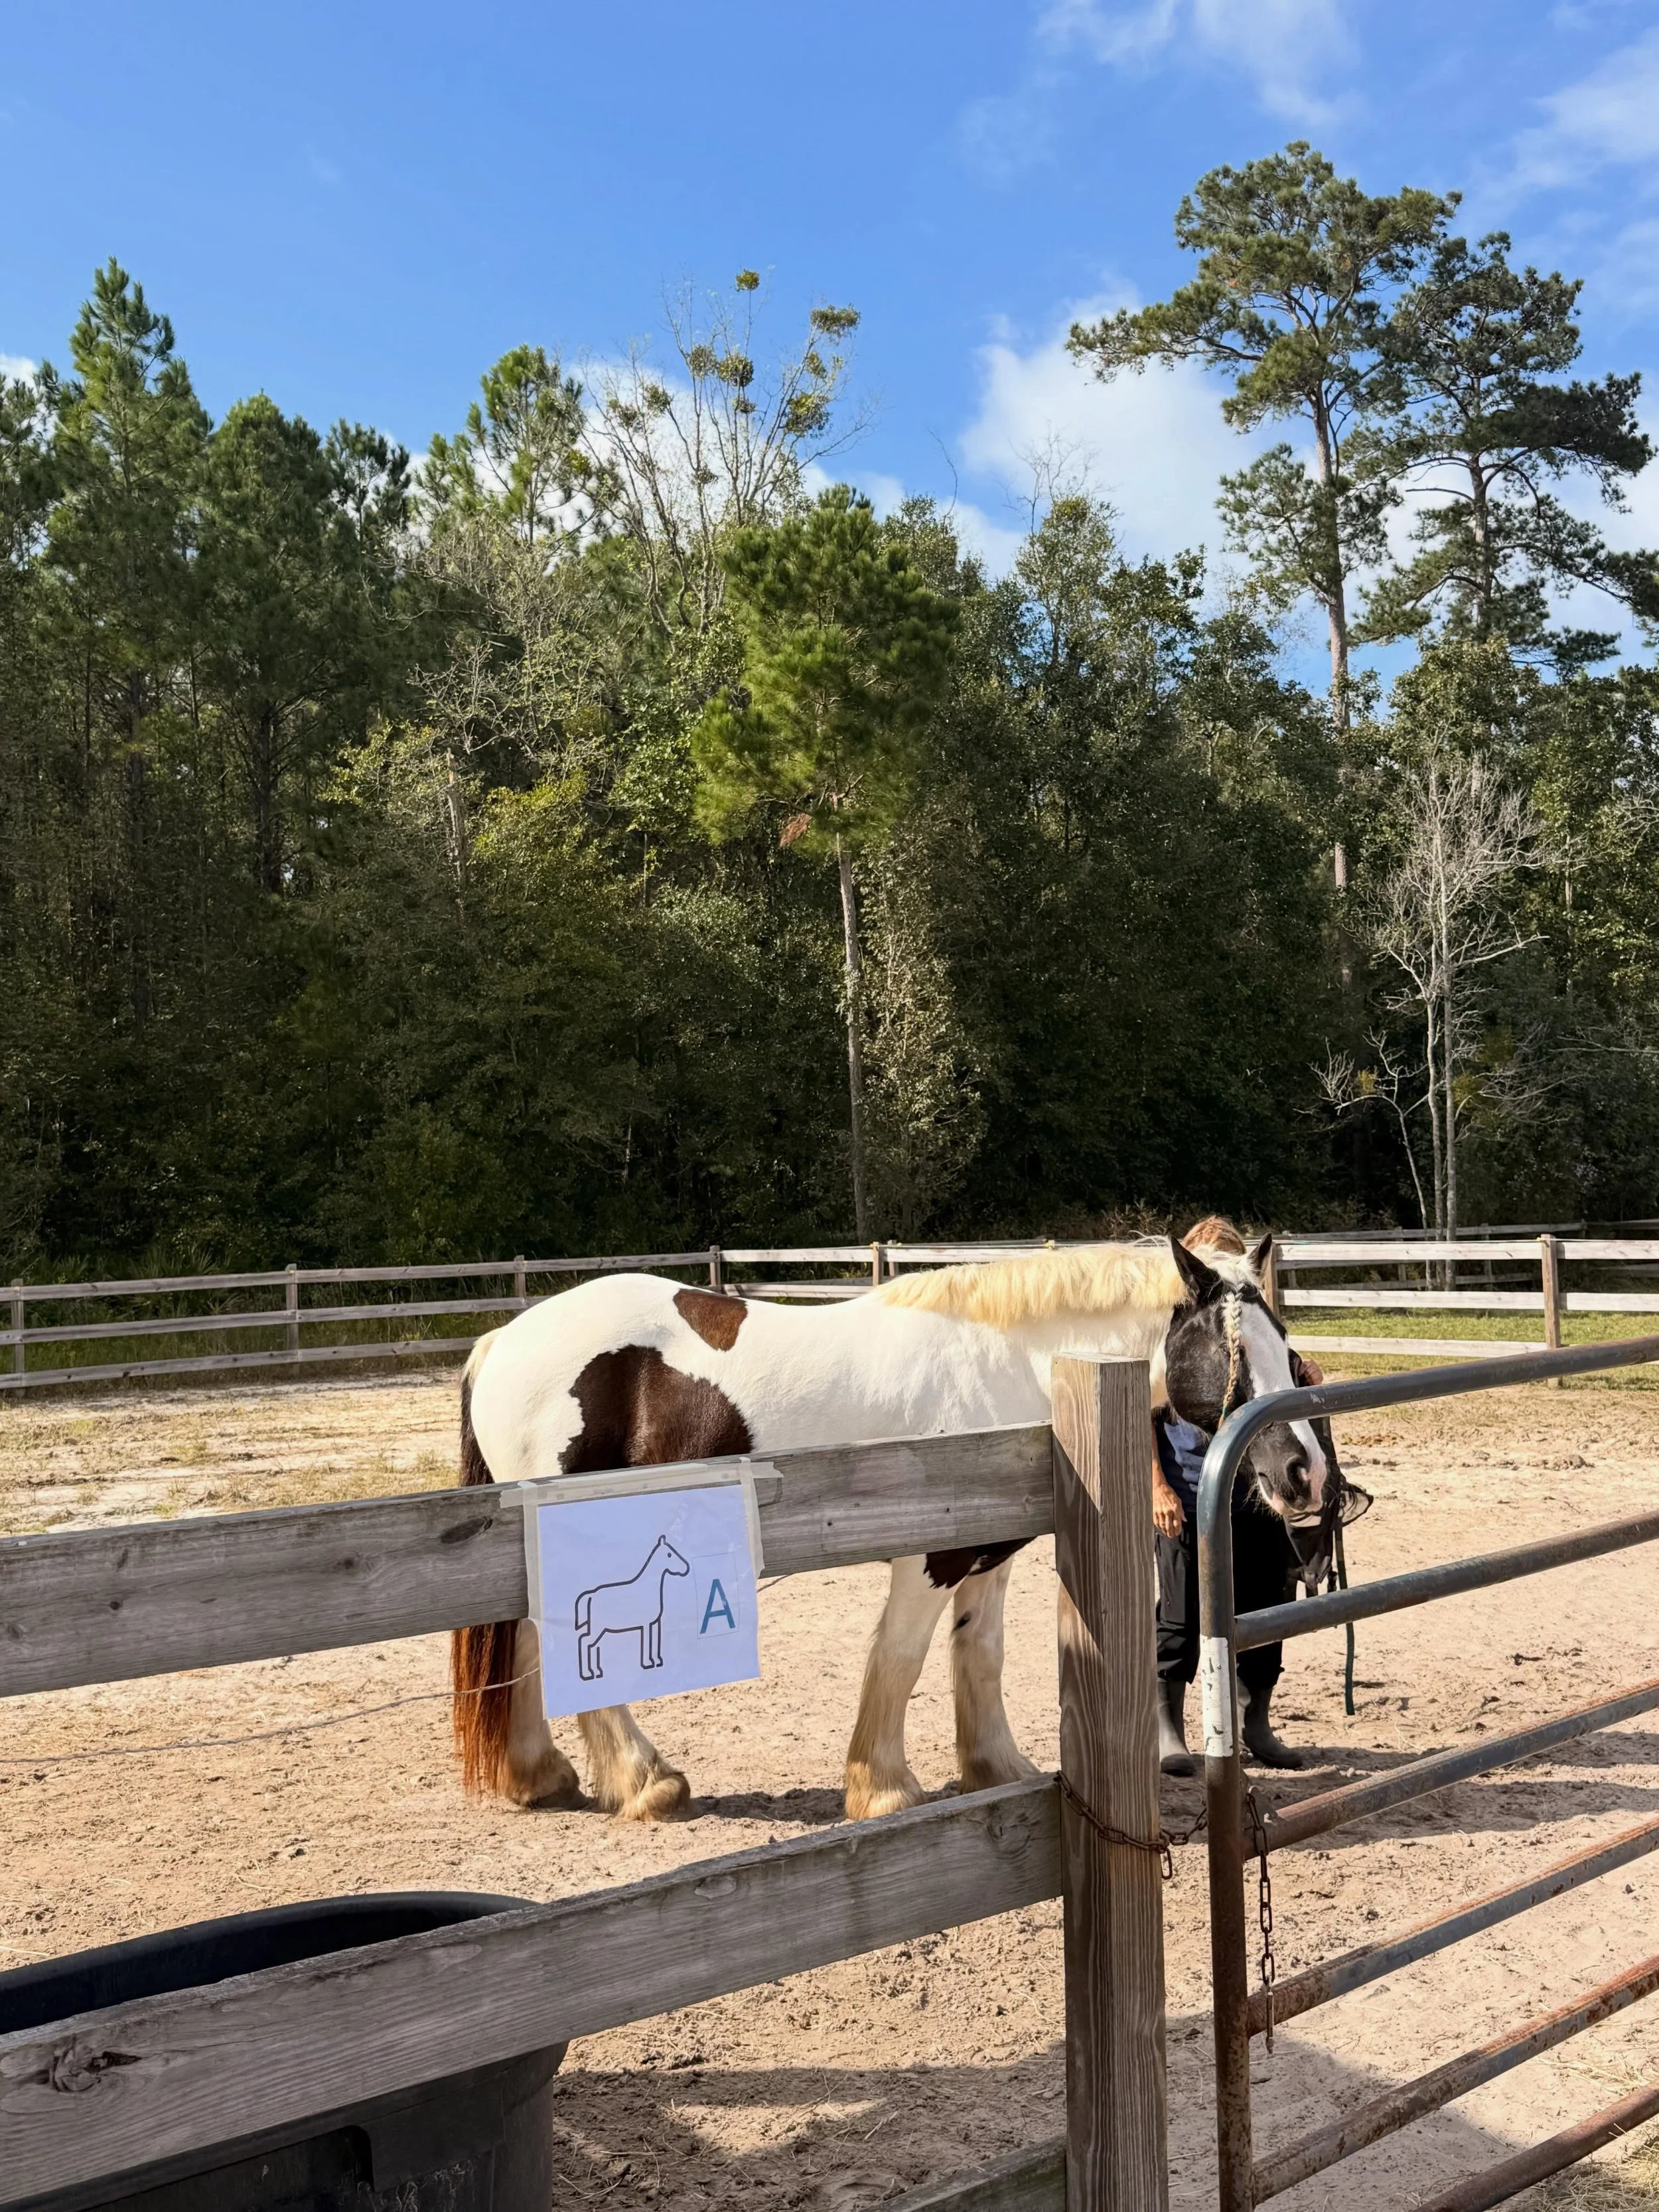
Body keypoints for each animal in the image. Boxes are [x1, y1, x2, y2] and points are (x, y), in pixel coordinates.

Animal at [575, 1536, 690, 1681]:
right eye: (669, 1554)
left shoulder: (655, 1623)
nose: (686, 1568)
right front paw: (648, 1663)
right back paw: (588, 1674)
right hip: (597, 1628)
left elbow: (654, 1642)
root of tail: (591, 1595)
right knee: (585, 1642)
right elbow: (647, 1643)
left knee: (594, 1645)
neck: (649, 1587)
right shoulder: (646, 1624)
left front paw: (657, 1661)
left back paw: (597, 1671)